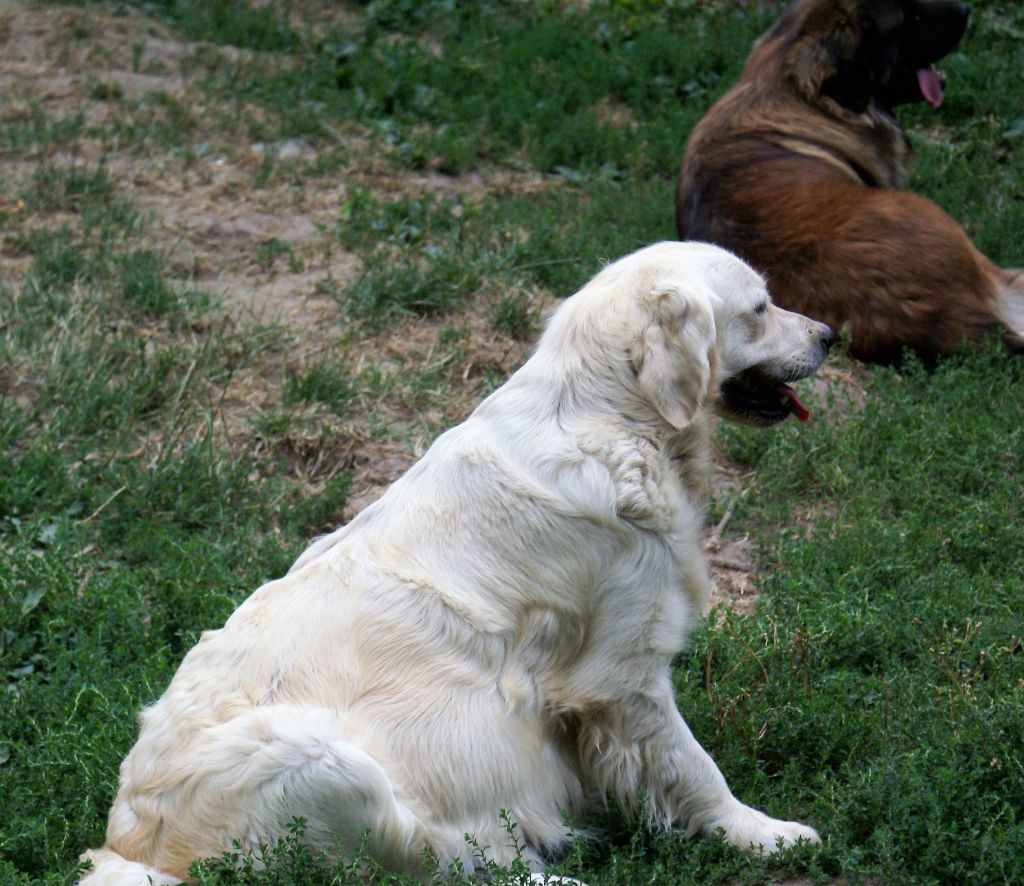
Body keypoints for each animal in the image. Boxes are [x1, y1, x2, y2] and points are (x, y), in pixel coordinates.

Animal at [79, 241, 831, 884]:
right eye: (760, 308)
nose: (829, 334)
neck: (612, 417)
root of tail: (132, 848)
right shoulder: (623, 672)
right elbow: (694, 768)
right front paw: (763, 834)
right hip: (327, 763)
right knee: (427, 866)